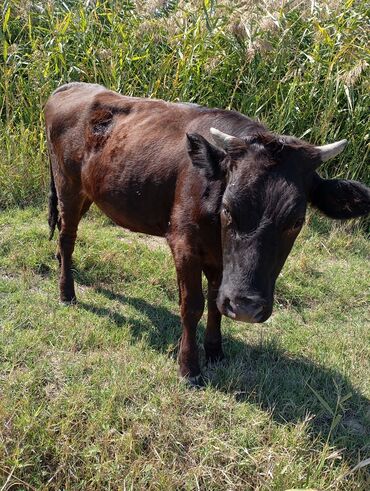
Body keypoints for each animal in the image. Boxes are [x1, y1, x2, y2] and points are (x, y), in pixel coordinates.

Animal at [44, 82, 370, 386]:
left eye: (296, 221)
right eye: (228, 209)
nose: (246, 308)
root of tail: (70, 86)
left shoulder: (220, 259)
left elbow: (215, 302)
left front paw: (215, 351)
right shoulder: (184, 244)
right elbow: (193, 306)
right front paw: (189, 368)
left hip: (87, 191)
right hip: (67, 185)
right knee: (67, 236)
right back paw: (67, 292)